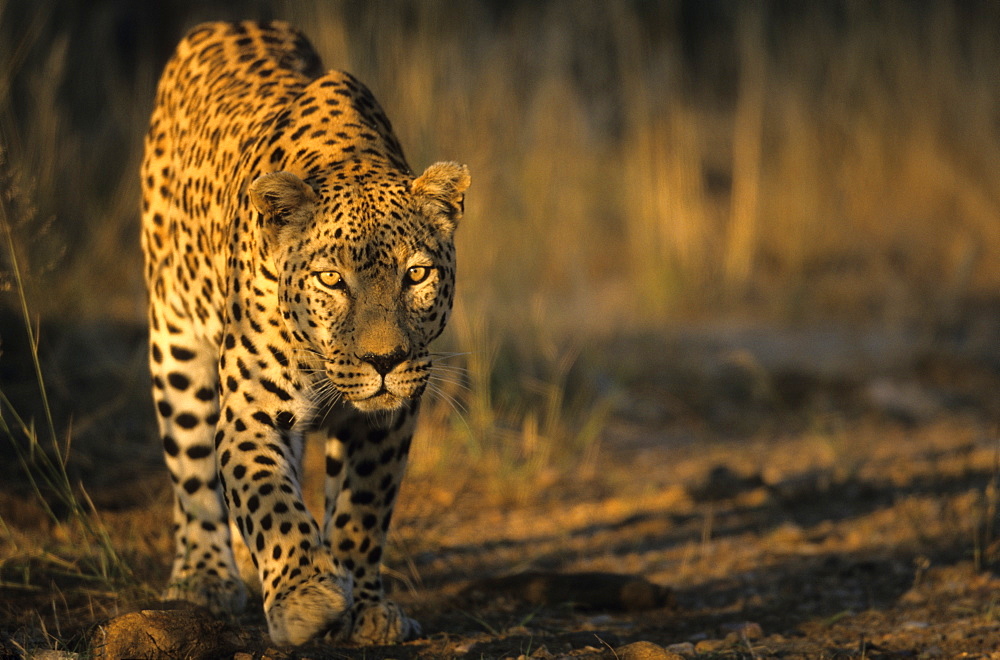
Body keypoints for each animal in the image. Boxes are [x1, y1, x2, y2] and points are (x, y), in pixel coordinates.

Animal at [139, 19, 470, 644]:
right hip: (174, 338)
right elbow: (266, 497)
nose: (384, 362)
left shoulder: (390, 420)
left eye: (416, 274)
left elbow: (362, 511)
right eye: (330, 279)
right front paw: (305, 598)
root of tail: (222, 22)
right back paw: (205, 577)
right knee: (193, 473)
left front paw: (366, 609)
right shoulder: (251, 408)